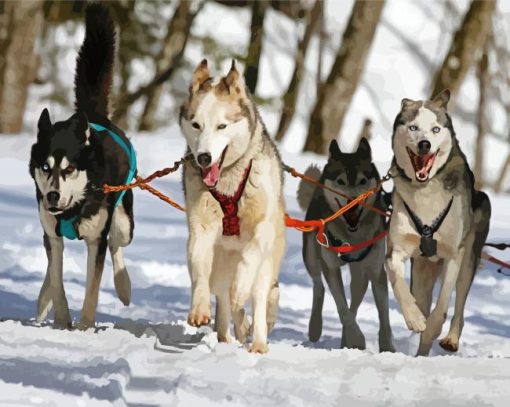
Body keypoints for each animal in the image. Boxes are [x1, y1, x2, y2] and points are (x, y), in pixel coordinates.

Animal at [28, 5, 134, 332]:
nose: (52, 196)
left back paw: (124, 286)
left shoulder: (95, 240)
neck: (74, 207)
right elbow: (58, 279)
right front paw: (62, 319)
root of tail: (92, 115)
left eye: (70, 168)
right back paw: (43, 299)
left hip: (123, 223)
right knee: (52, 265)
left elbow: (92, 288)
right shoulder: (52, 233)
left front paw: (85, 326)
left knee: (117, 244)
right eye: (45, 166)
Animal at [179, 59, 284, 354]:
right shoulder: (201, 229)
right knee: (224, 300)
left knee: (259, 298)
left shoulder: (262, 230)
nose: (204, 158)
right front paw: (199, 309)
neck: (228, 181)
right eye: (196, 124)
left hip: (267, 265)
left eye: (222, 126)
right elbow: (199, 271)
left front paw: (241, 289)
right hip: (220, 267)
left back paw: (258, 342)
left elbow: (249, 260)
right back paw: (227, 334)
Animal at [298, 139, 394, 352]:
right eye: (341, 181)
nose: (353, 203)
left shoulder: (376, 270)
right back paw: (315, 327)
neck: (352, 236)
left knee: (355, 302)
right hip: (311, 257)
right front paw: (356, 339)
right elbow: (342, 308)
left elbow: (383, 314)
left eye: (362, 181)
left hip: (360, 273)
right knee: (319, 287)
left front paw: (387, 346)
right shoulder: (331, 267)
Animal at [386, 90, 490, 356]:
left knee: (459, 306)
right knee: (421, 298)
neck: (424, 190)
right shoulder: (396, 250)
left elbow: (442, 305)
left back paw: (450, 339)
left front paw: (432, 327)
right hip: (422, 274)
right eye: (413, 127)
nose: (425, 144)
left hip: (468, 260)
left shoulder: (454, 254)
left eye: (435, 129)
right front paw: (414, 318)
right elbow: (399, 284)